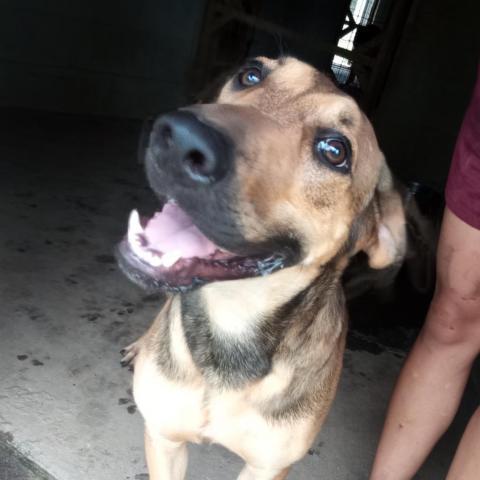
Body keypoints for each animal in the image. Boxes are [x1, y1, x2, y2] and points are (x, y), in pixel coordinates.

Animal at [116, 57, 404, 480]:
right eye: (251, 73)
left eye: (335, 150)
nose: (181, 136)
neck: (230, 328)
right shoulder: (164, 438)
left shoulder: (267, 467)